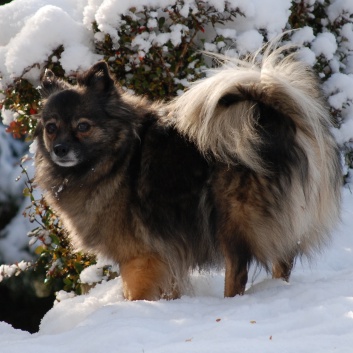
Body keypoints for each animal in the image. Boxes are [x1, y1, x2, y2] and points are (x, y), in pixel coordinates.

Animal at [34, 42, 340, 298]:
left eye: (83, 126)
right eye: (51, 128)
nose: (59, 149)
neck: (116, 156)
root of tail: (270, 118)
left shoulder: (139, 256)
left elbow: (135, 292)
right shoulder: (164, 256)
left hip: (231, 222)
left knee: (238, 270)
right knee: (282, 264)